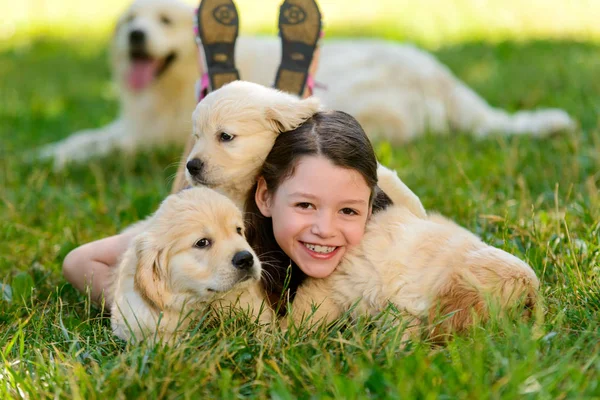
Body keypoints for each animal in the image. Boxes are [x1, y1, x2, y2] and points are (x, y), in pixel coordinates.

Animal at [38, 0, 576, 168]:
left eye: (165, 21)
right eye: (130, 20)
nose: (135, 36)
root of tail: (443, 77)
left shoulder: (150, 136)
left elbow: (102, 146)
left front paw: (62, 159)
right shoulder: (134, 124)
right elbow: (87, 136)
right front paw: (48, 152)